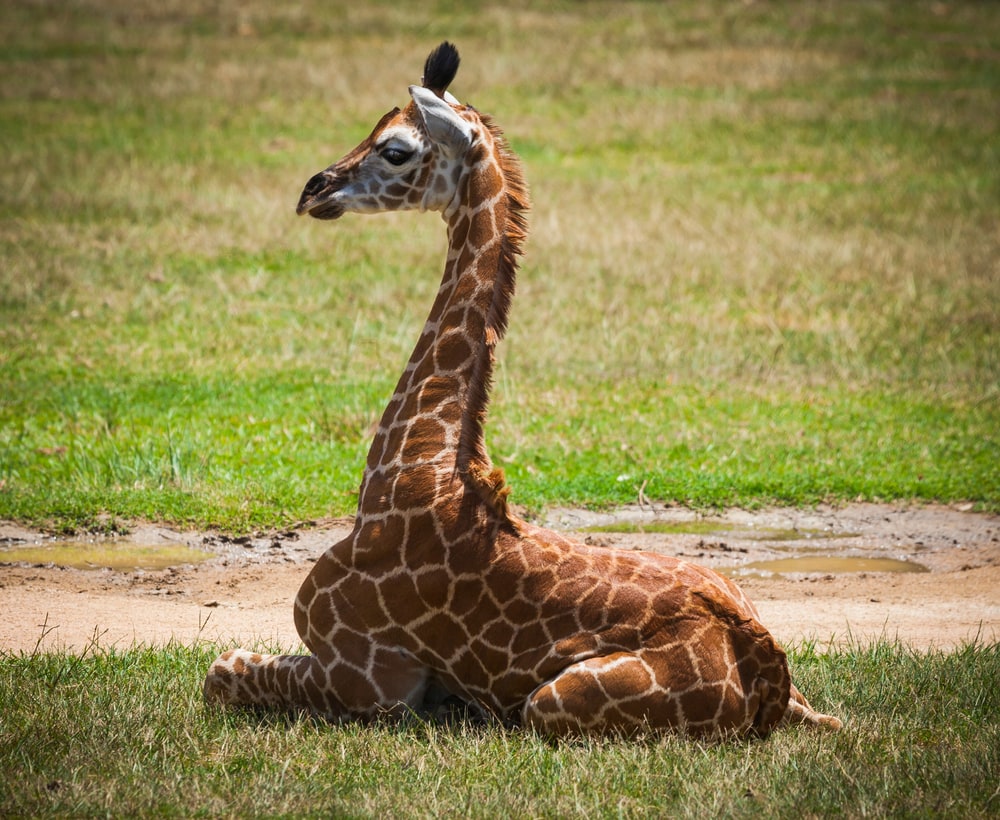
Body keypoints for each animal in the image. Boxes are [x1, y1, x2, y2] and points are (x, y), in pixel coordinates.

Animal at [203, 42, 842, 738]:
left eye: (395, 149)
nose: (313, 189)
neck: (414, 471)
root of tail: (766, 668)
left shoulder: (368, 680)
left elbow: (218, 673)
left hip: (550, 702)